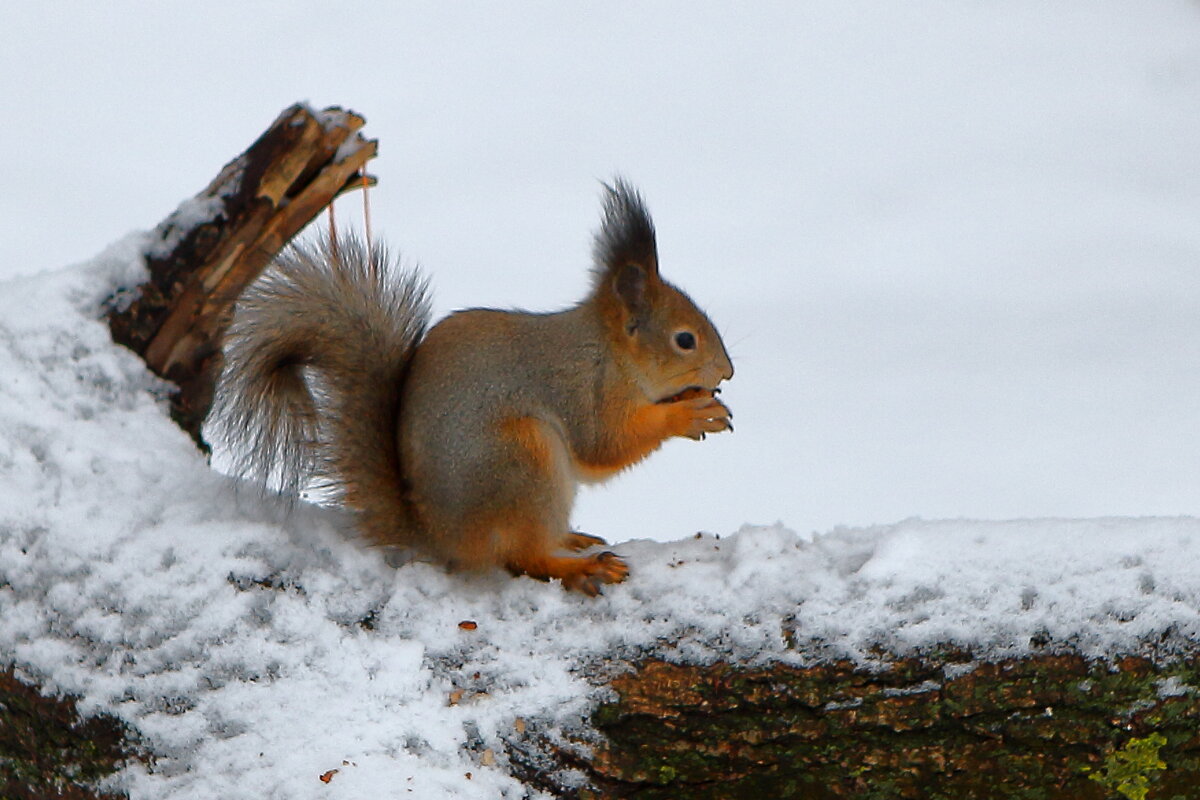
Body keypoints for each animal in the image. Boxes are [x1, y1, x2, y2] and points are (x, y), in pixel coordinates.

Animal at [208, 181, 729, 594]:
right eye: (685, 340)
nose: (726, 374)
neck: (609, 350)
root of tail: (440, 538)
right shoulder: (583, 388)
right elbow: (605, 444)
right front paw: (689, 413)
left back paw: (571, 539)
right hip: (523, 460)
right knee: (522, 555)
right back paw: (576, 567)